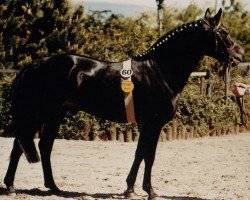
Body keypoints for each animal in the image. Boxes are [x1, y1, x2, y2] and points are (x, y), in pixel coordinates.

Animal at [2, 8, 243, 199]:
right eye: (223, 33)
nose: (239, 55)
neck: (159, 71)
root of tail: (33, 66)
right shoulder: (153, 124)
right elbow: (147, 155)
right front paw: (146, 190)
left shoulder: (149, 125)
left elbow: (143, 154)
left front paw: (133, 189)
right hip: (38, 113)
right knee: (19, 145)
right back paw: (12, 187)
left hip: (55, 114)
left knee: (43, 146)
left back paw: (53, 187)